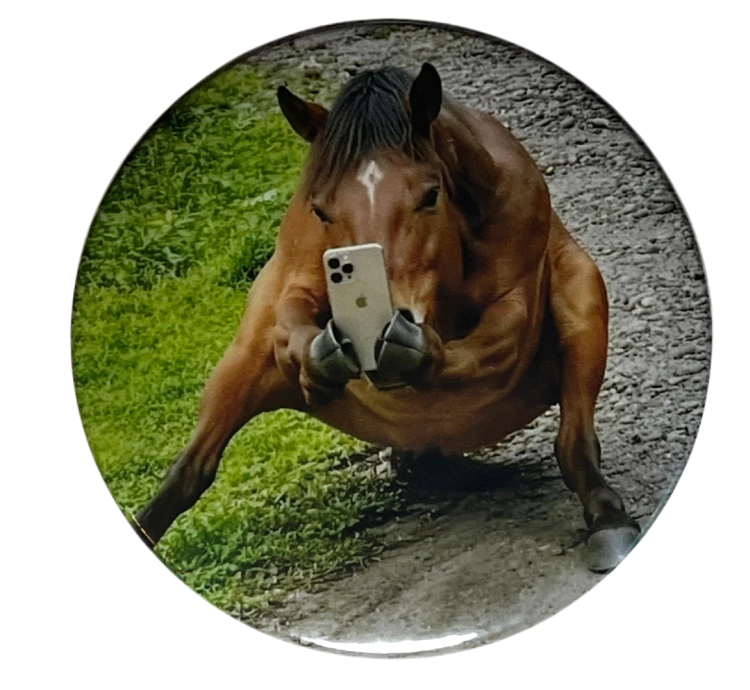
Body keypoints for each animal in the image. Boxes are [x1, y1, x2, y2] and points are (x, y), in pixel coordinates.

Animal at [131, 63, 642, 573]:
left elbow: (499, 341)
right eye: (321, 210)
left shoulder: (520, 291)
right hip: (242, 362)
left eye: (430, 195)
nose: (384, 322)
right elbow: (290, 315)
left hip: (582, 293)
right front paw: (326, 353)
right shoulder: (291, 280)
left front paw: (412, 349)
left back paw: (607, 519)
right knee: (191, 469)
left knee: (573, 442)